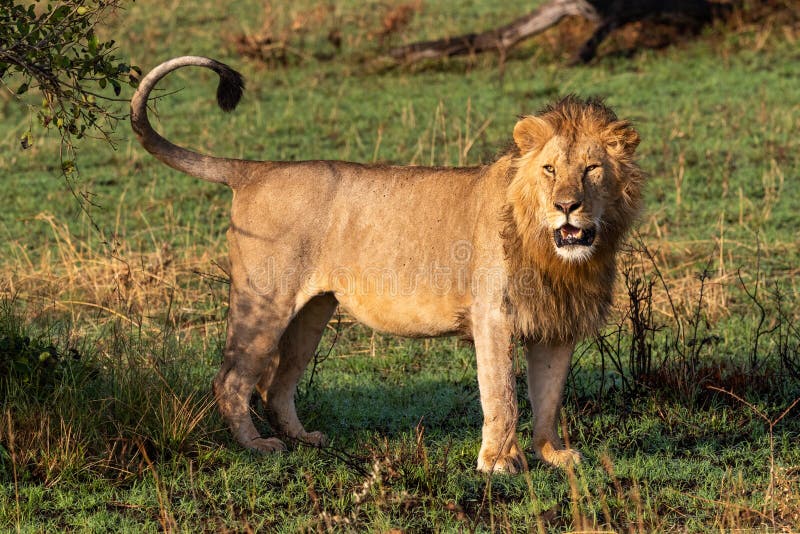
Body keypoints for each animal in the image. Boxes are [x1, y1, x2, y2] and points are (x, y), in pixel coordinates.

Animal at [130, 56, 643, 473]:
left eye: (592, 169)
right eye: (550, 170)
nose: (567, 207)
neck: (557, 256)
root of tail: (255, 170)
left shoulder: (557, 324)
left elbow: (549, 396)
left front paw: (553, 454)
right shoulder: (493, 316)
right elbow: (502, 394)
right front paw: (499, 462)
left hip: (311, 313)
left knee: (275, 384)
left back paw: (303, 439)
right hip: (265, 301)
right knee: (232, 379)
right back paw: (257, 446)